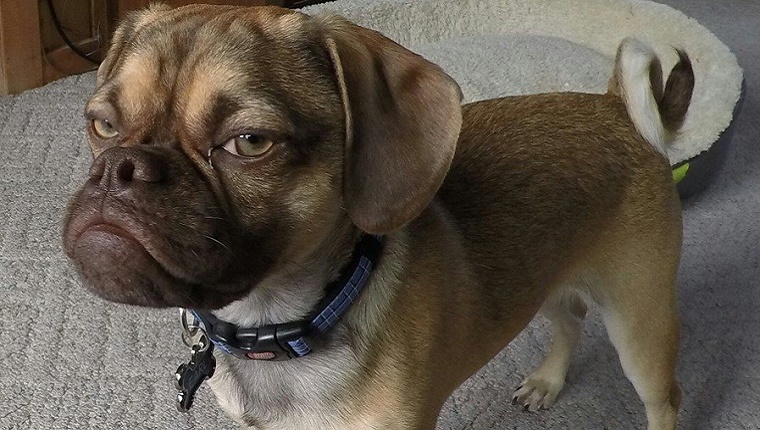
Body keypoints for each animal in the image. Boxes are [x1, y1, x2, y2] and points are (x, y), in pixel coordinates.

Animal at [63, 4, 696, 430]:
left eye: (249, 142)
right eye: (103, 125)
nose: (122, 167)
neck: (277, 324)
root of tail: (618, 109)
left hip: (640, 322)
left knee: (664, 399)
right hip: (544, 278)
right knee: (569, 319)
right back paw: (547, 381)